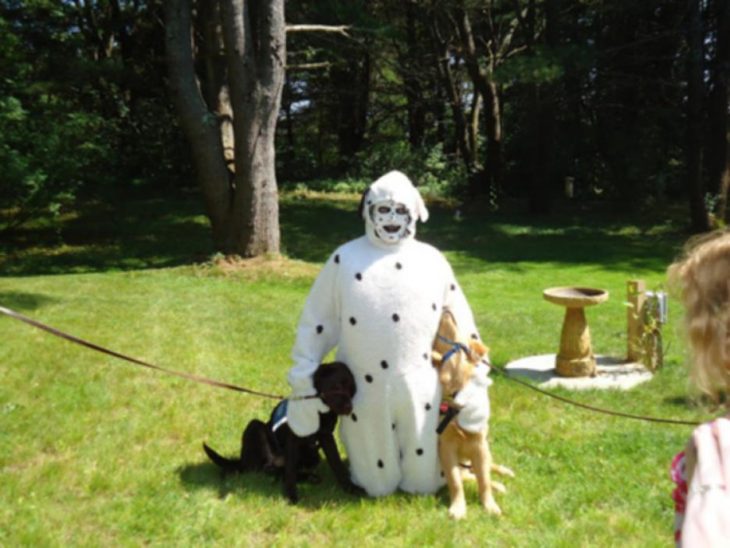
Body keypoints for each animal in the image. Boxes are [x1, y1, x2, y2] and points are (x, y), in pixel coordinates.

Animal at [202, 362, 362, 504]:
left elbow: (336, 463)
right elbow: (290, 472)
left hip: (313, 455)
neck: (317, 409)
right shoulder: (293, 438)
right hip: (255, 427)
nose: (349, 408)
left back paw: (308, 476)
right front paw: (291, 496)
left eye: (352, 390)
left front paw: (350, 487)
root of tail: (242, 461)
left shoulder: (326, 436)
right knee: (270, 468)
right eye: (336, 387)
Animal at [432, 310, 512, 520]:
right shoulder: (446, 447)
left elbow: (484, 480)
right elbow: (456, 482)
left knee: (488, 469)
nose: (445, 308)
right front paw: (458, 508)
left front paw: (490, 505)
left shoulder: (479, 445)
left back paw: (504, 474)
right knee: (469, 476)